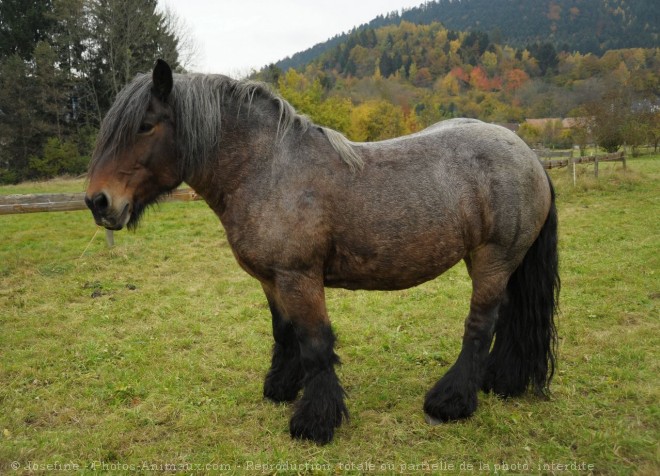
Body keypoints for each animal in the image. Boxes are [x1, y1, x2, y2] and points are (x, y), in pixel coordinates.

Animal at [85, 60, 560, 446]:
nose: (98, 202)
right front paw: (281, 388)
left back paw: (452, 401)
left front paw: (315, 422)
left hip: (493, 259)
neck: (267, 171)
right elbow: (285, 334)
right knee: (510, 317)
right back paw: (503, 381)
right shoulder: (272, 280)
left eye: (146, 124)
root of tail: (530, 156)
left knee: (480, 326)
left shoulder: (300, 277)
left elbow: (315, 343)